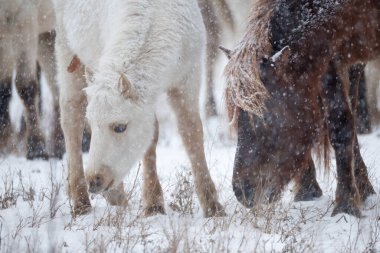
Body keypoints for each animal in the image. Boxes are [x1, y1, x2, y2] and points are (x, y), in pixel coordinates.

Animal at [0, 0, 63, 158]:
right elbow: (3, 87)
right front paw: (4, 143)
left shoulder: (23, 17)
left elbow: (26, 87)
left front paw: (36, 147)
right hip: (47, 35)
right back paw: (59, 147)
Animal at [53, 0, 226, 217]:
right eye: (91, 125)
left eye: (120, 127)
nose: (94, 180)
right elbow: (152, 138)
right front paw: (153, 203)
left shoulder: (187, 78)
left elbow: (191, 132)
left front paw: (212, 205)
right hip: (65, 48)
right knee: (71, 118)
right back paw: (81, 202)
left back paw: (115, 196)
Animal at [224, 0, 378, 217]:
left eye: (266, 118)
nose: (243, 192)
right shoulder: (331, 56)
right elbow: (341, 125)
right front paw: (348, 200)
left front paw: (346, 206)